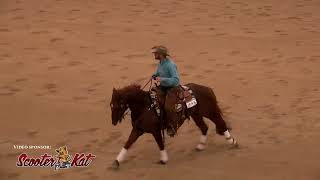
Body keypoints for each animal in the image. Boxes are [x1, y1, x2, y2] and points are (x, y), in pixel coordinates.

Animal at [110, 82, 238, 169]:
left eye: (120, 104)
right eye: (111, 104)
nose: (113, 122)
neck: (146, 107)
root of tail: (208, 89)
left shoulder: (155, 131)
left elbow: (160, 144)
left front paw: (164, 159)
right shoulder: (137, 129)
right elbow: (128, 143)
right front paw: (116, 161)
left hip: (210, 112)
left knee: (221, 123)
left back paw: (232, 142)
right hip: (196, 115)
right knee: (204, 128)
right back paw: (200, 146)